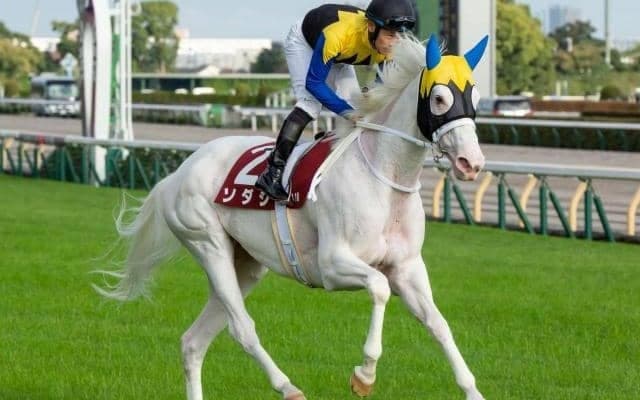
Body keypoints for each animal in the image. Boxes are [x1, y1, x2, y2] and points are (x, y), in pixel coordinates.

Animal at [96, 34, 489, 400]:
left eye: (475, 98)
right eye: (439, 98)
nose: (472, 163)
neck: (383, 178)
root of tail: (176, 174)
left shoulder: (406, 268)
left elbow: (438, 323)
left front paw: (472, 389)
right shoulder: (332, 264)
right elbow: (378, 287)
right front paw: (364, 375)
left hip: (245, 264)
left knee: (193, 342)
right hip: (208, 243)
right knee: (241, 328)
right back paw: (287, 386)